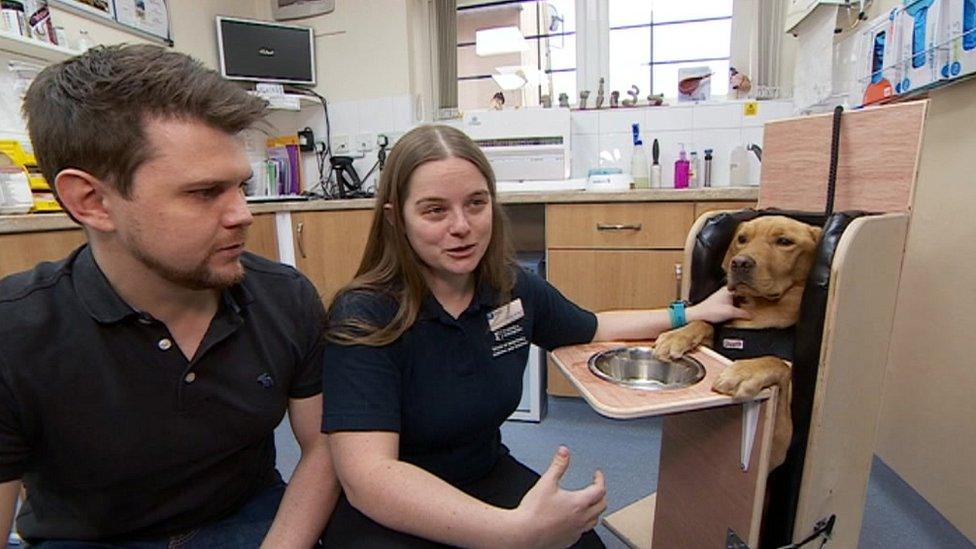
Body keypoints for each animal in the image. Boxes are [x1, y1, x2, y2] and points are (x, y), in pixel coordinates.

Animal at [652, 214, 820, 466]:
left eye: (784, 241)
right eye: (742, 238)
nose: (740, 263)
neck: (760, 311)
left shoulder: (778, 448)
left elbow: (777, 362)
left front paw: (743, 373)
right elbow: (704, 322)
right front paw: (677, 336)